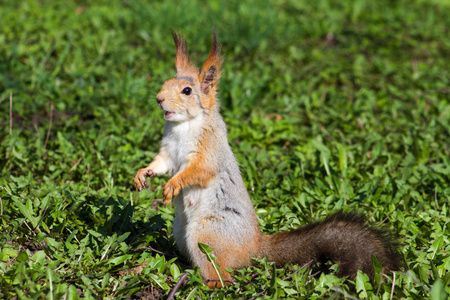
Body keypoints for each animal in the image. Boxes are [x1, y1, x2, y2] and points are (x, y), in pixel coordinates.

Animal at [132, 29, 402, 288]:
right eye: (165, 82)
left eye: (187, 91)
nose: (159, 99)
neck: (184, 125)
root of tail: (254, 248)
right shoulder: (169, 151)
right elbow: (162, 164)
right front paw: (141, 174)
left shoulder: (210, 151)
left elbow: (199, 171)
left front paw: (173, 185)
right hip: (180, 230)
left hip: (207, 234)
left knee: (224, 274)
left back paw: (208, 283)